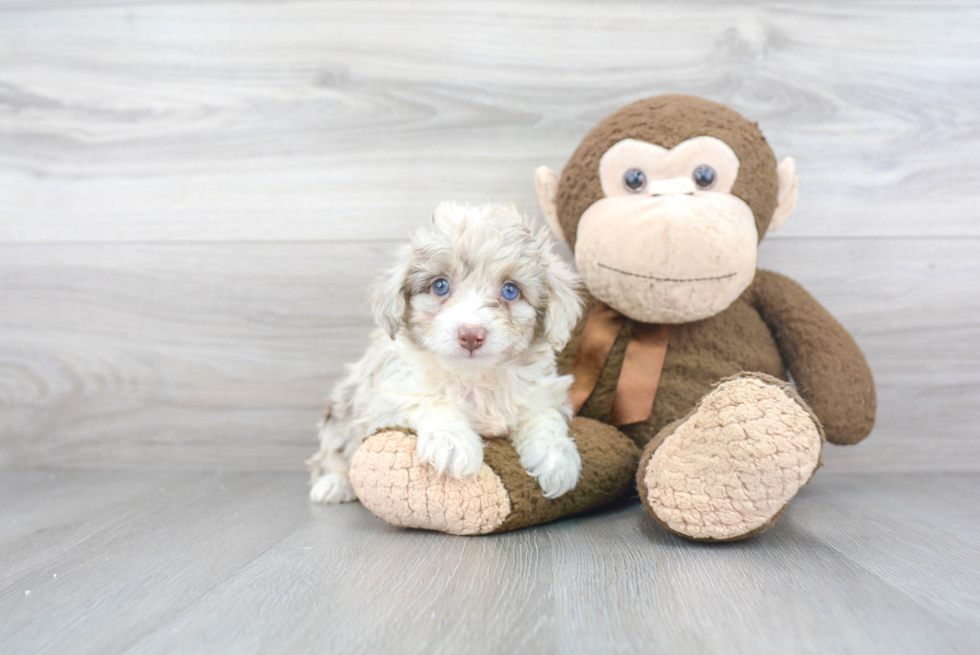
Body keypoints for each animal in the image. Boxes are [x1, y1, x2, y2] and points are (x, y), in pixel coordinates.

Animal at [306, 202, 580, 504]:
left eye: (510, 290)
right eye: (440, 285)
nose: (471, 334)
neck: (474, 378)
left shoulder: (541, 392)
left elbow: (544, 415)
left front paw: (557, 457)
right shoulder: (387, 394)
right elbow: (430, 400)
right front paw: (452, 441)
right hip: (340, 410)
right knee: (331, 453)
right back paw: (334, 483)